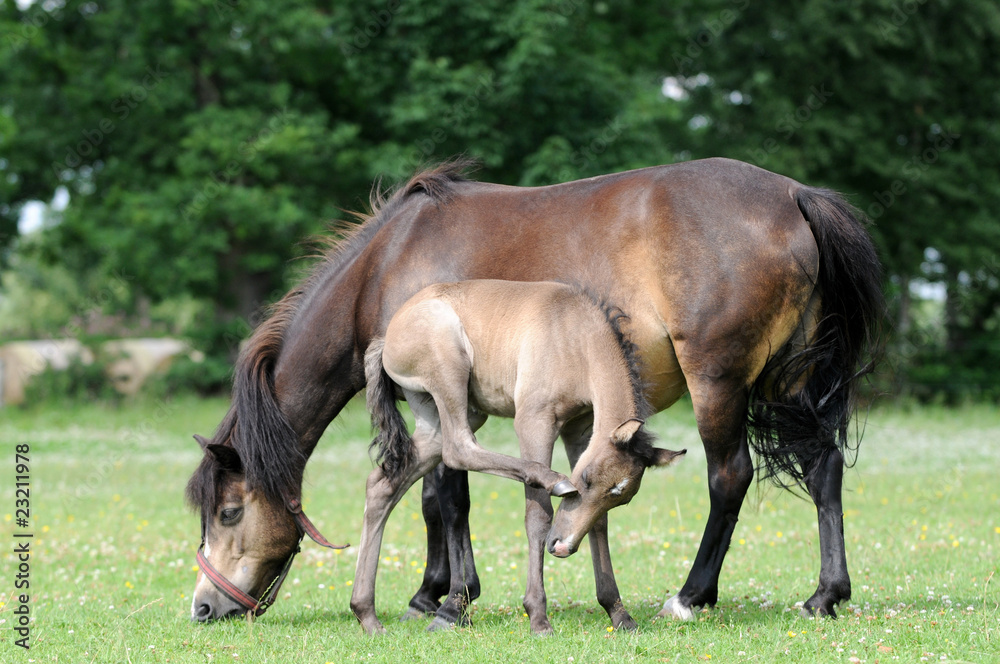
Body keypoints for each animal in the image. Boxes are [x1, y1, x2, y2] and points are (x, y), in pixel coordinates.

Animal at [353, 279, 686, 634]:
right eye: (586, 480)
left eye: (621, 498)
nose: (562, 546)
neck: (576, 336)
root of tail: (388, 335)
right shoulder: (535, 420)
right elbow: (538, 517)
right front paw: (538, 617)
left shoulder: (580, 428)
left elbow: (599, 522)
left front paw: (619, 614)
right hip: (449, 373)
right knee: (458, 448)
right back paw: (553, 480)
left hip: (433, 417)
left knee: (382, 483)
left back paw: (367, 615)